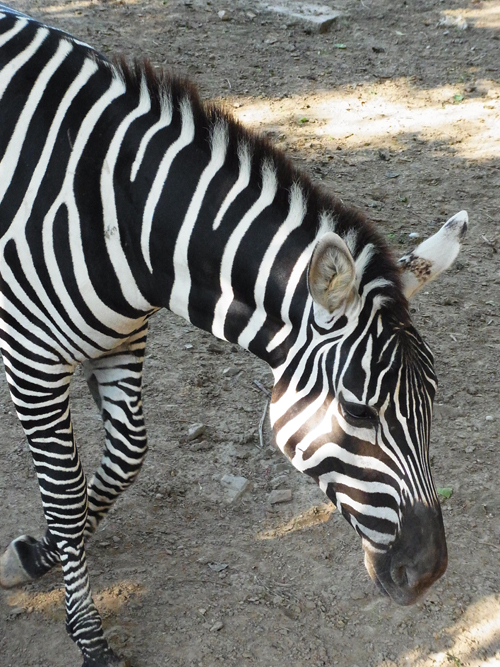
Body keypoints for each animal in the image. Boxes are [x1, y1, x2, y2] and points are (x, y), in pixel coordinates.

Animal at [0, 5, 468, 667]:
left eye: (432, 400)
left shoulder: (121, 340)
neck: (125, 216)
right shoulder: (31, 357)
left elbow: (128, 455)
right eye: (358, 410)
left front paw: (38, 557)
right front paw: (89, 636)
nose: (427, 574)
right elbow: (65, 499)